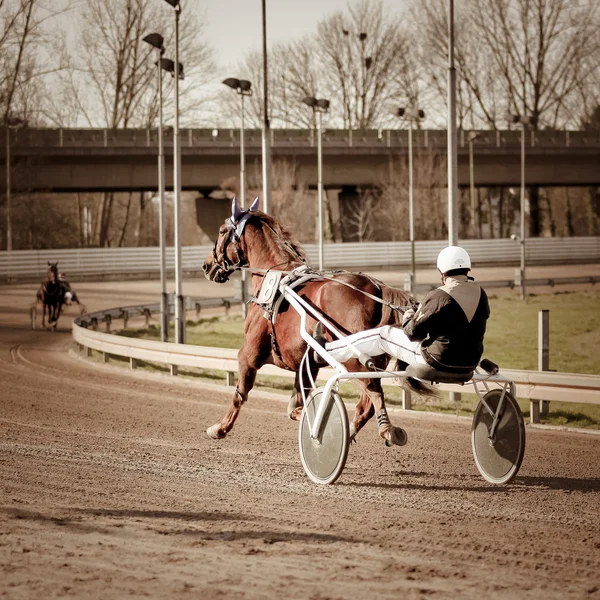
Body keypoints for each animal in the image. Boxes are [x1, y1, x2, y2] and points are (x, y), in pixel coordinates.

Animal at [202, 199, 418, 448]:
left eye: (221, 231)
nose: (206, 266)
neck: (275, 276)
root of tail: (376, 288)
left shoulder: (248, 355)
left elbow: (240, 394)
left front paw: (220, 428)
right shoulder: (305, 364)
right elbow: (295, 405)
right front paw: (310, 415)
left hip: (353, 358)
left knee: (372, 393)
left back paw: (387, 429)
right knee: (366, 405)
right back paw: (350, 432)